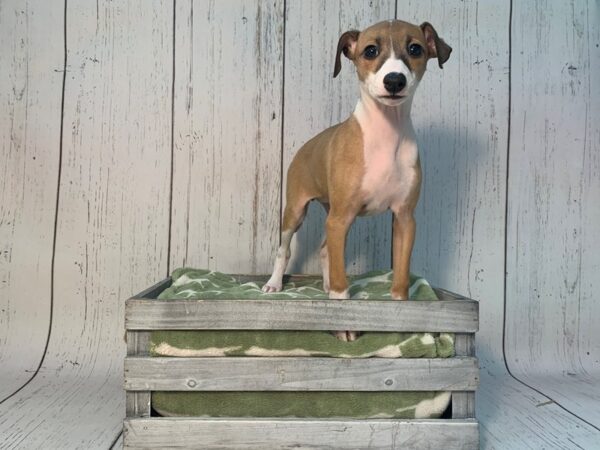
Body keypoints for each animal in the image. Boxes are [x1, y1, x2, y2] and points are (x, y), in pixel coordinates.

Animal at [262, 18, 450, 342]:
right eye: (370, 50)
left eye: (415, 49)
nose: (394, 81)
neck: (386, 134)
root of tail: (305, 146)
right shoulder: (341, 218)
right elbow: (342, 287)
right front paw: (344, 324)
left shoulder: (404, 219)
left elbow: (400, 279)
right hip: (296, 211)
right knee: (284, 249)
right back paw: (274, 283)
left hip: (332, 213)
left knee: (327, 249)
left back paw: (324, 286)